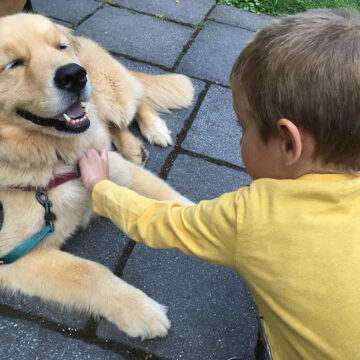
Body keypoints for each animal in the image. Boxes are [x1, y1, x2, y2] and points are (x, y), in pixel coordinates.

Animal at [0, 13, 194, 340]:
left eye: (60, 47)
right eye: (13, 64)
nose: (74, 75)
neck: (57, 158)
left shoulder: (116, 168)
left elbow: (171, 198)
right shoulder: (11, 255)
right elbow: (90, 272)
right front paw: (140, 309)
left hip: (112, 93)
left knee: (135, 102)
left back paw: (153, 129)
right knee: (113, 123)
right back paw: (132, 146)